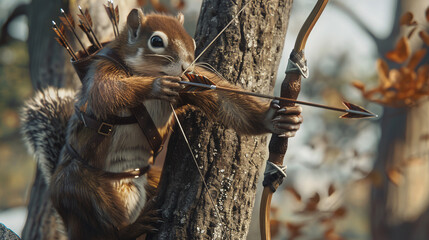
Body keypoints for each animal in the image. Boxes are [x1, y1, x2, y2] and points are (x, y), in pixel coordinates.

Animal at [20, 7, 300, 240]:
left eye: (192, 41)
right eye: (156, 41)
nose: (186, 65)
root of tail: (71, 229)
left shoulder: (193, 83)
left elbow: (225, 102)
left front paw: (275, 119)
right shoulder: (103, 69)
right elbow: (106, 92)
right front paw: (155, 86)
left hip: (151, 181)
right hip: (79, 189)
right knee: (107, 228)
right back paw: (134, 226)